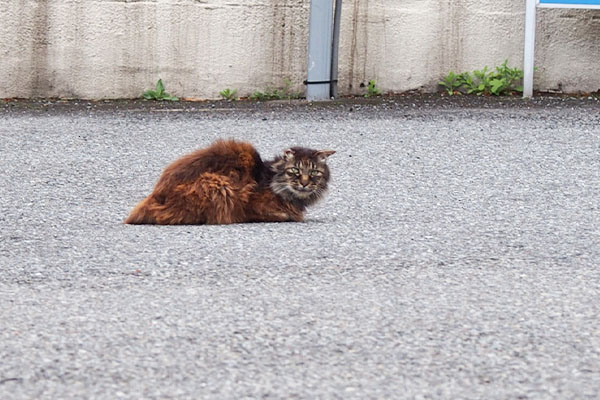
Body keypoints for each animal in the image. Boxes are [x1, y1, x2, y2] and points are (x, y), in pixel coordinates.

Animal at [125, 139, 336, 223]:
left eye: (314, 172)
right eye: (295, 171)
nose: (305, 183)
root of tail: (156, 194)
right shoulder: (252, 202)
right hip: (218, 184)